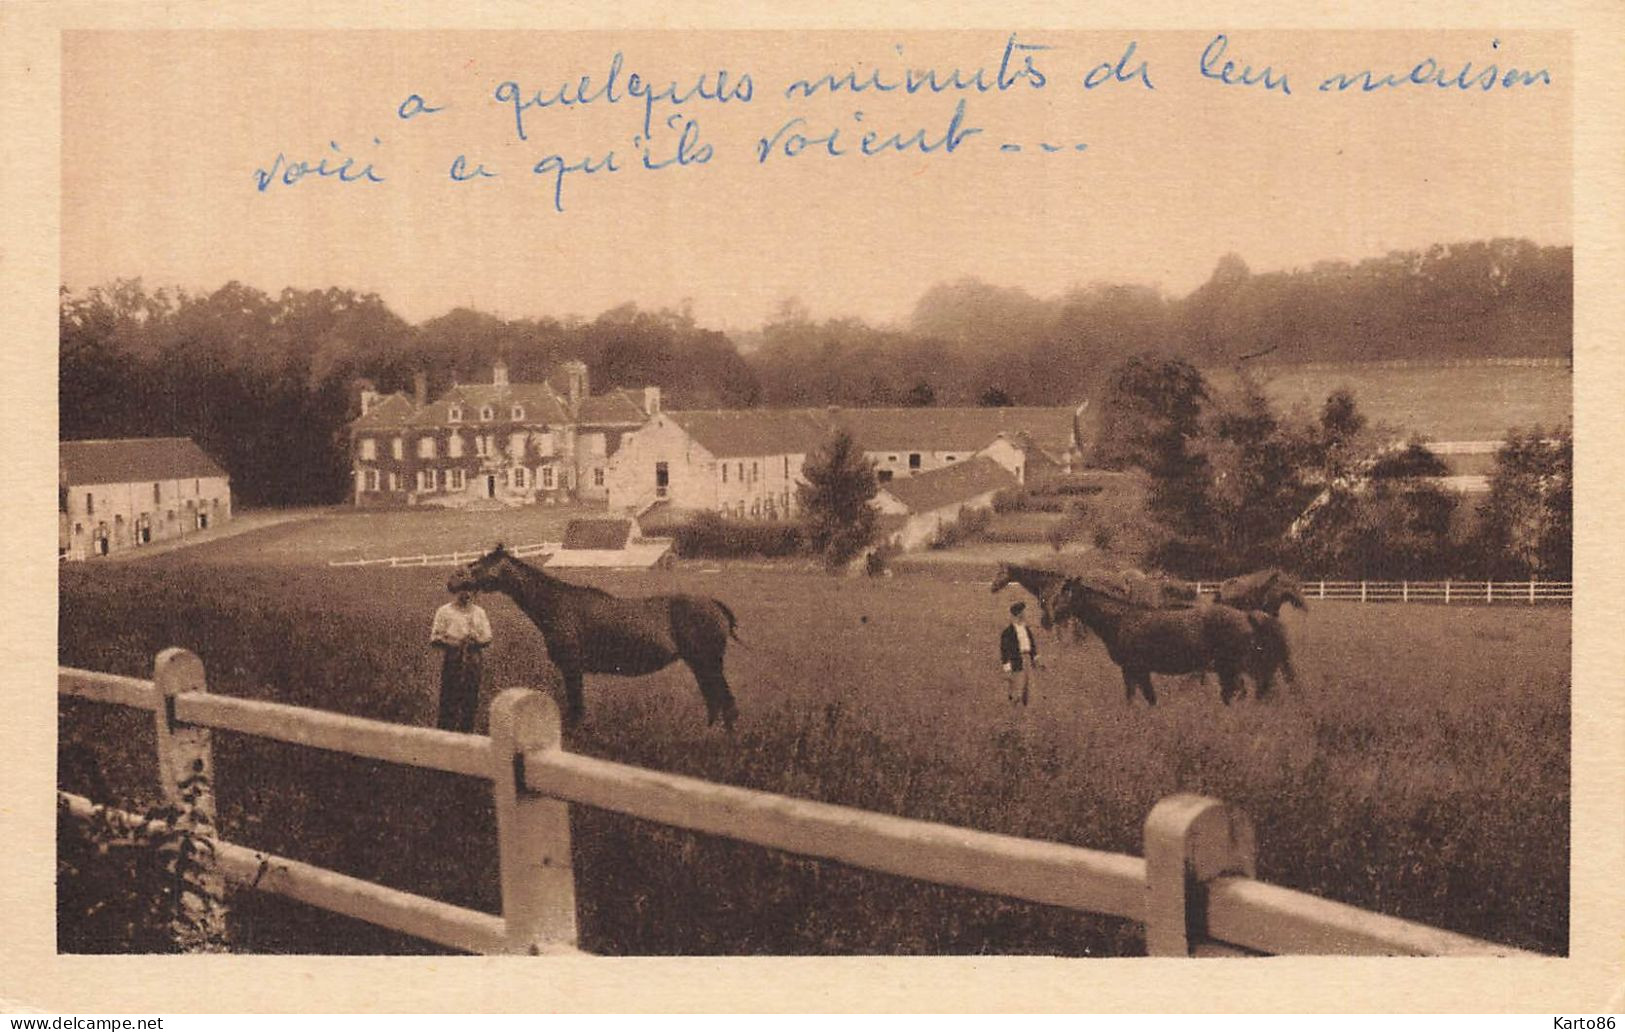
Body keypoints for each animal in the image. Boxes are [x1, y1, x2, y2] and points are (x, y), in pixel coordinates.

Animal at [455, 546, 741, 731]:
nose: (453, 582)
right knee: (715, 701)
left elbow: (576, 708)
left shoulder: (572, 667)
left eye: (480, 564)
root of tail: (715, 605)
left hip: (708, 663)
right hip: (700, 665)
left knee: (726, 703)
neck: (556, 605)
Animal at [1053, 578, 1293, 705]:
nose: (1051, 618)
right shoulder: (1136, 671)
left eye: (1064, 596)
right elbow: (1143, 698)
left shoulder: (1134, 669)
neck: (1120, 620)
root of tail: (1246, 616)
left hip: (1229, 669)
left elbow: (1141, 698)